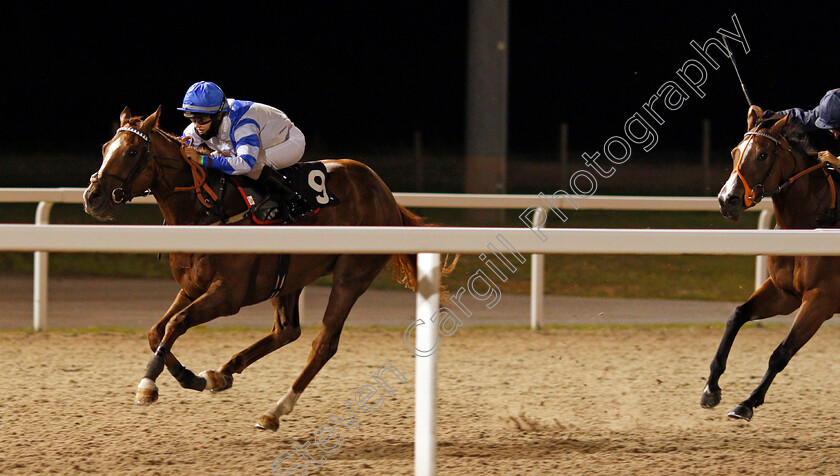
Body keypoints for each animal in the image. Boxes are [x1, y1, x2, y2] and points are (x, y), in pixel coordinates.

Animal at [84, 105, 452, 432]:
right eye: (105, 148)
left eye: (132, 151)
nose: (92, 196)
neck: (208, 210)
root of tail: (385, 193)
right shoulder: (191, 288)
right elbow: (155, 331)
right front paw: (184, 377)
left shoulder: (227, 295)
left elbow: (176, 324)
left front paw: (153, 383)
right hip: (290, 277)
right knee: (287, 330)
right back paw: (222, 374)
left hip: (352, 276)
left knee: (324, 344)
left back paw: (274, 411)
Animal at [704, 107, 840, 420]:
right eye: (735, 151)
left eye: (763, 155)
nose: (727, 200)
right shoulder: (784, 293)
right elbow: (737, 315)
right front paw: (711, 387)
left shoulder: (822, 300)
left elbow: (782, 352)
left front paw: (747, 402)